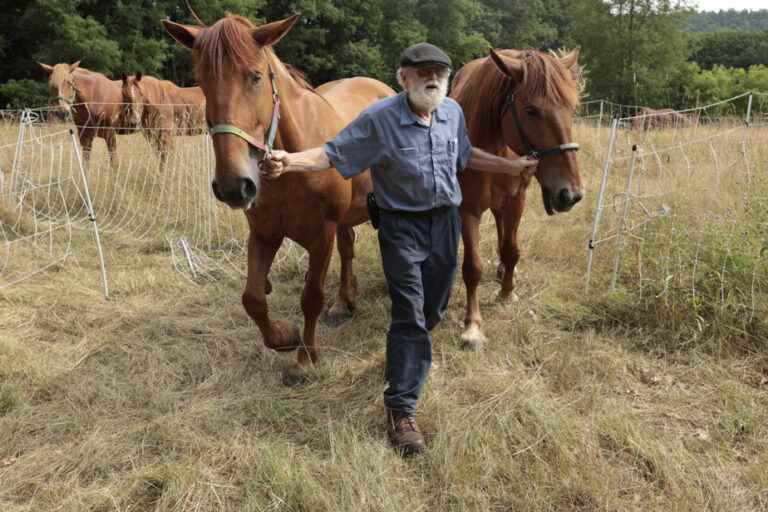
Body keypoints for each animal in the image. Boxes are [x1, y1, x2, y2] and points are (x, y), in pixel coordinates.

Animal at [166, 13, 396, 384]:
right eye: (201, 82)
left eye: (255, 76)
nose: (233, 185)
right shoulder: (264, 233)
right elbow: (253, 298)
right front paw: (285, 336)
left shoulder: (321, 235)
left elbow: (311, 296)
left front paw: (304, 359)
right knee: (348, 249)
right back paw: (343, 303)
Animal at [450, 48, 584, 350]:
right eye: (531, 110)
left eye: (571, 108)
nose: (571, 194)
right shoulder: (468, 209)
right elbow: (472, 267)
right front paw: (472, 327)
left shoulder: (516, 200)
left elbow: (512, 250)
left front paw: (507, 291)